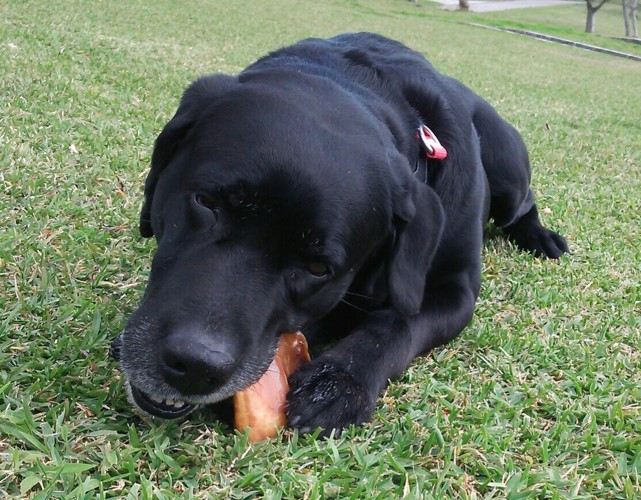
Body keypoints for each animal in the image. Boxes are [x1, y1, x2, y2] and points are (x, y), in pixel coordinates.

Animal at [110, 33, 564, 432]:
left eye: (317, 268)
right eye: (206, 202)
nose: (196, 365)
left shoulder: (455, 291)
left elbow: (394, 325)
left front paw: (338, 384)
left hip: (507, 171)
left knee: (524, 203)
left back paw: (543, 238)